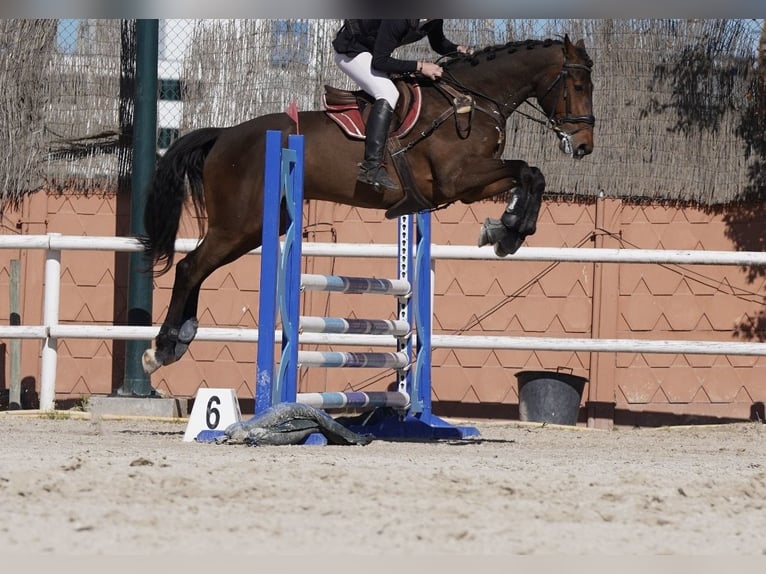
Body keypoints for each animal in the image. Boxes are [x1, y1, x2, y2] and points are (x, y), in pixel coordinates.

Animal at [139, 34, 595, 375]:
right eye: (577, 87)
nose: (584, 147)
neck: (470, 101)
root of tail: (224, 135)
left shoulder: (467, 185)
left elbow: (530, 174)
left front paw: (508, 229)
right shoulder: (458, 179)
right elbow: (528, 171)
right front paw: (509, 229)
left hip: (251, 228)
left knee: (197, 268)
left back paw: (180, 339)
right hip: (238, 224)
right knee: (190, 267)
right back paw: (161, 349)